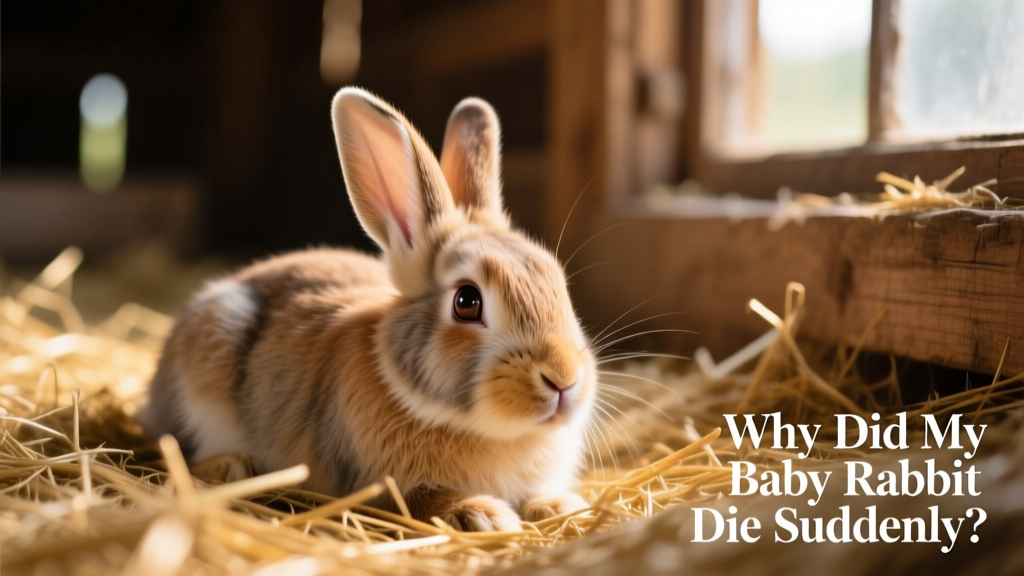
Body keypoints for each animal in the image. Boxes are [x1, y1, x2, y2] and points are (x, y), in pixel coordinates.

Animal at [139, 87, 596, 531]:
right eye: (467, 302)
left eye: (560, 284)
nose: (563, 379)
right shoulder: (376, 484)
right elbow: (418, 500)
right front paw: (482, 514)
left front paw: (566, 508)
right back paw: (232, 465)